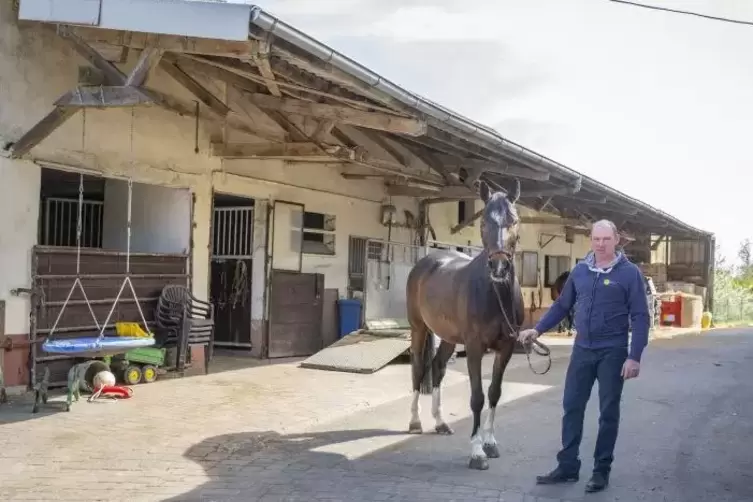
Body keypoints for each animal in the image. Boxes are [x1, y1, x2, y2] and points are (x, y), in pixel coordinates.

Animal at [406, 178, 524, 468]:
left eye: (514, 220)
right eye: (483, 221)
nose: (499, 267)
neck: (495, 293)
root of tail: (426, 262)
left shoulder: (506, 347)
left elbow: (494, 392)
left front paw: (490, 443)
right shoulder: (474, 348)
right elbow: (477, 397)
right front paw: (477, 452)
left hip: (448, 337)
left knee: (438, 366)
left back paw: (440, 423)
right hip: (419, 328)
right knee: (418, 368)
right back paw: (415, 421)